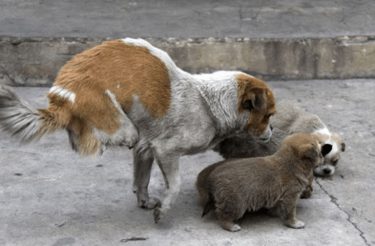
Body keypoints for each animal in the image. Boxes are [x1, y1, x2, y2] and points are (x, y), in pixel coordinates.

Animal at [0, 38, 276, 223]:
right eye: (269, 115)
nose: (272, 130)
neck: (208, 103)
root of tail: (61, 98)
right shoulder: (166, 150)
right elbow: (174, 184)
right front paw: (163, 209)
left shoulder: (147, 148)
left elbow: (141, 179)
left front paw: (144, 200)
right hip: (117, 122)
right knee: (120, 136)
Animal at [197, 133, 328, 231]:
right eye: (319, 152)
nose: (323, 157)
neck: (291, 163)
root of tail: (212, 177)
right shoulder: (290, 196)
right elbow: (290, 213)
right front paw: (294, 223)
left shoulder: (280, 196)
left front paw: (273, 213)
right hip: (236, 203)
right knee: (222, 215)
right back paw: (231, 226)